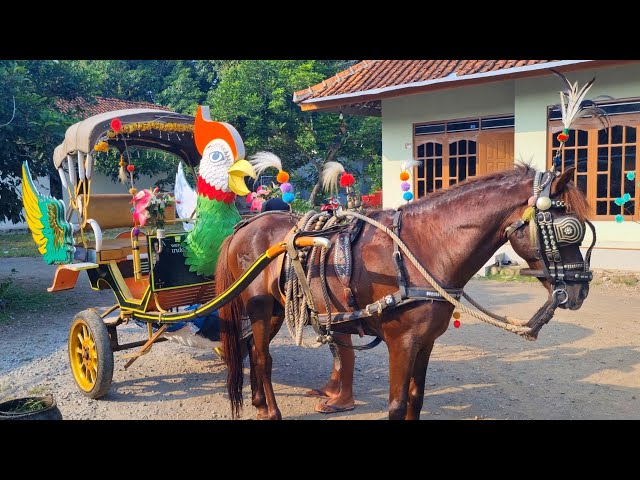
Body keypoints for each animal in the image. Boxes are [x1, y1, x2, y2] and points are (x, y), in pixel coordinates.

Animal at [214, 163, 592, 418]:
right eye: (568, 228)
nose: (579, 292)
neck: (422, 250)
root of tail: (245, 226)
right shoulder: (402, 342)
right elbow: (396, 405)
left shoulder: (425, 342)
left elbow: (416, 399)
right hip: (260, 308)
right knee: (263, 358)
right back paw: (272, 411)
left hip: (275, 310)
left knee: (254, 351)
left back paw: (260, 403)